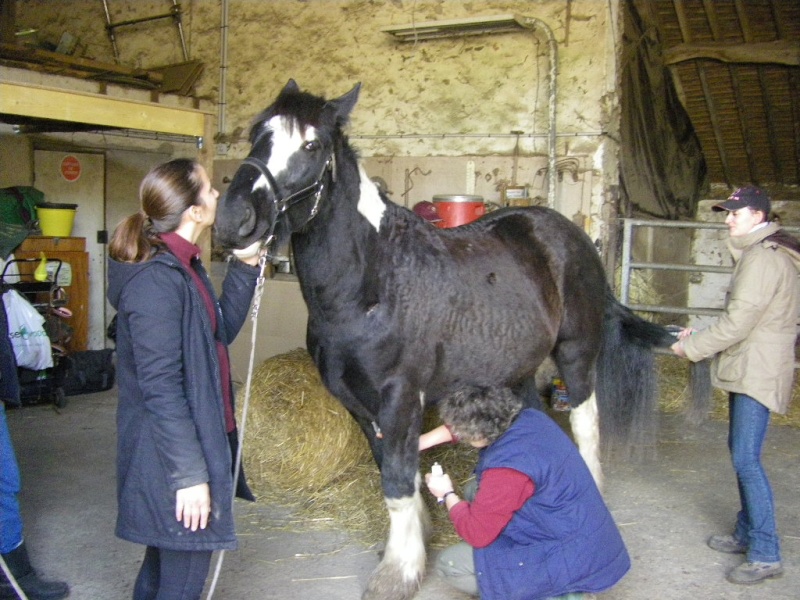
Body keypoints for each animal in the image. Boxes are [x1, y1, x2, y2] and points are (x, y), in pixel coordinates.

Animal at [217, 81, 680, 600]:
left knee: (585, 422)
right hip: (516, 370)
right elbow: (391, 471)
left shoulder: (401, 398)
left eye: (312, 145)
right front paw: (415, 542)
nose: (233, 220)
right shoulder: (359, 404)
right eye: (256, 132)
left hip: (577, 353)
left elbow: (397, 481)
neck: (372, 283)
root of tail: (569, 233)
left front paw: (398, 573)